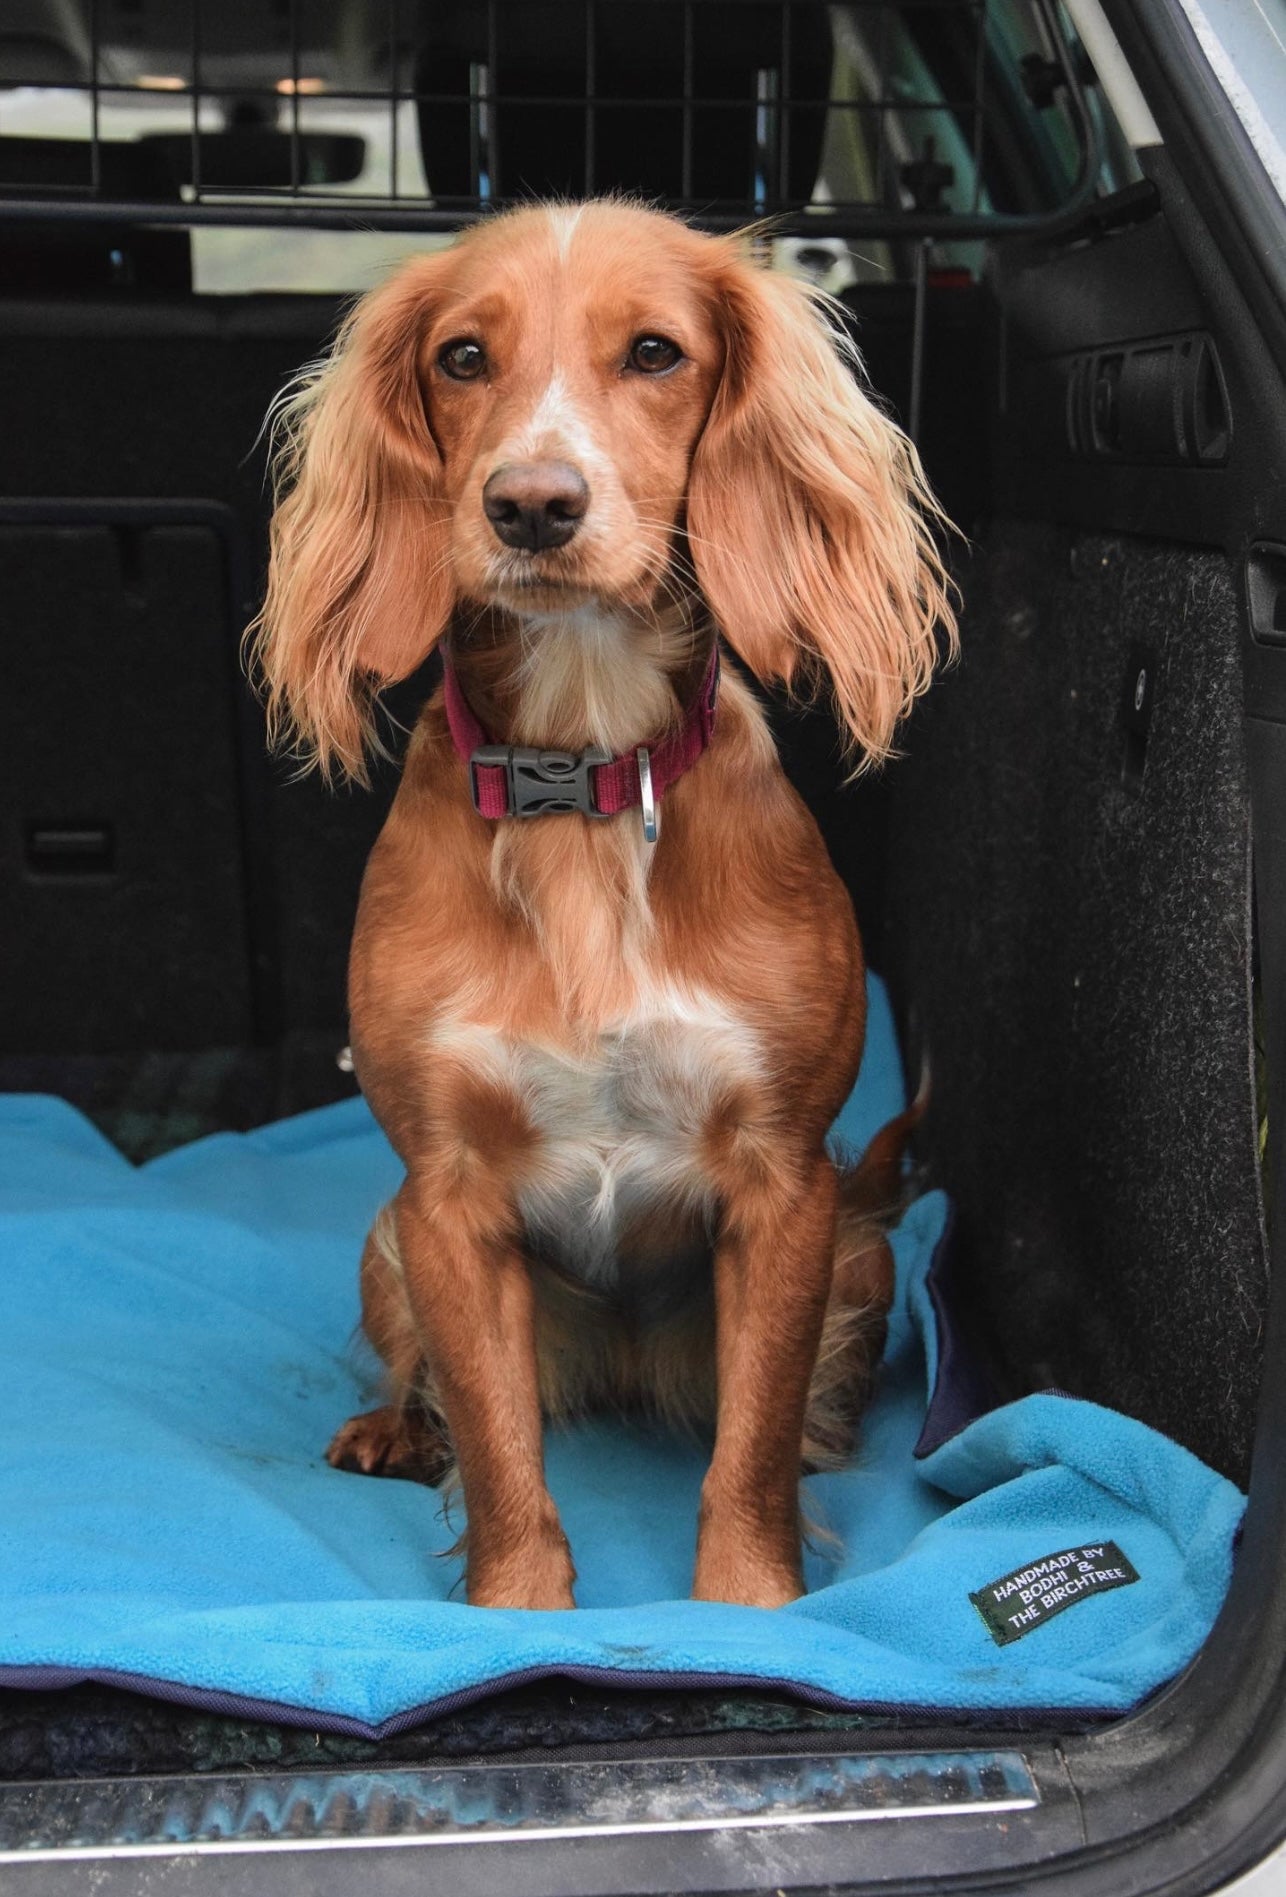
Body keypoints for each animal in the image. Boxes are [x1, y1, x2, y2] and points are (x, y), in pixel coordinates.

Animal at [254, 200, 955, 1608]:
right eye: (464, 357)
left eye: (653, 352)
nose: (530, 504)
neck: (580, 772)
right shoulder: (444, 1200)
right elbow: (500, 1450)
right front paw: (517, 1612)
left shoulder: (785, 1189)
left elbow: (747, 1449)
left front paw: (749, 1607)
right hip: (382, 1236)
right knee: (427, 1385)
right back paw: (394, 1428)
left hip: (855, 1248)